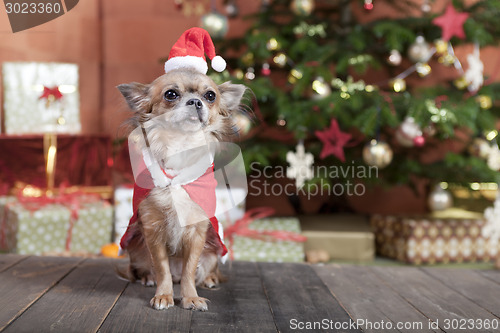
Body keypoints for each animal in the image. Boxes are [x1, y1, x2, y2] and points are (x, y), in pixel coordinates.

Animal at [119, 68, 248, 312]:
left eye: (210, 96)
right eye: (171, 94)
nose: (196, 101)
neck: (180, 146)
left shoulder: (197, 232)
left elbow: (189, 270)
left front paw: (191, 298)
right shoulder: (153, 230)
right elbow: (162, 269)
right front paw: (164, 295)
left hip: (213, 254)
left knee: (204, 270)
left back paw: (209, 279)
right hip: (137, 250)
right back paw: (147, 278)